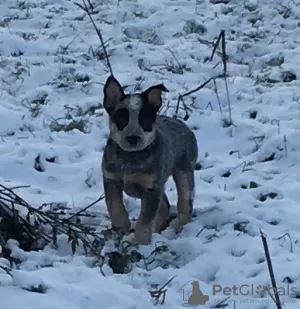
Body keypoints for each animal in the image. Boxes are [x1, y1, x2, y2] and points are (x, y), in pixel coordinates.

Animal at [102, 74, 198, 243]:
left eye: (144, 119)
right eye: (121, 118)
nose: (133, 138)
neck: (130, 159)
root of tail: (183, 124)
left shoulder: (151, 189)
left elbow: (145, 220)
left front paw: (140, 242)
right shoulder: (111, 179)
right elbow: (115, 206)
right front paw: (121, 227)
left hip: (184, 172)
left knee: (185, 203)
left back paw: (177, 228)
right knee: (165, 206)